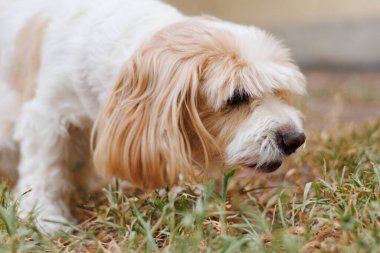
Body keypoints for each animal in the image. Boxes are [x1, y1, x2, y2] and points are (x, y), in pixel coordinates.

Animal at [0, 0, 306, 233]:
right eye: (237, 96)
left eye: (278, 92)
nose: (295, 138)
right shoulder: (46, 115)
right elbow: (46, 170)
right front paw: (45, 218)